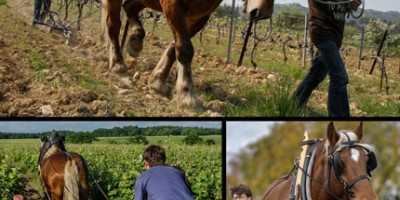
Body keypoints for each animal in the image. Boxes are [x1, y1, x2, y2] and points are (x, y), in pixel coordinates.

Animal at [100, 0, 276, 108]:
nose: (263, 11)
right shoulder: (173, 6)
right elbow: (185, 49)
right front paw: (187, 96)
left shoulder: (200, 16)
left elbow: (175, 48)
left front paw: (157, 81)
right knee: (113, 24)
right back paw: (118, 64)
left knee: (129, 7)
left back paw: (135, 40)